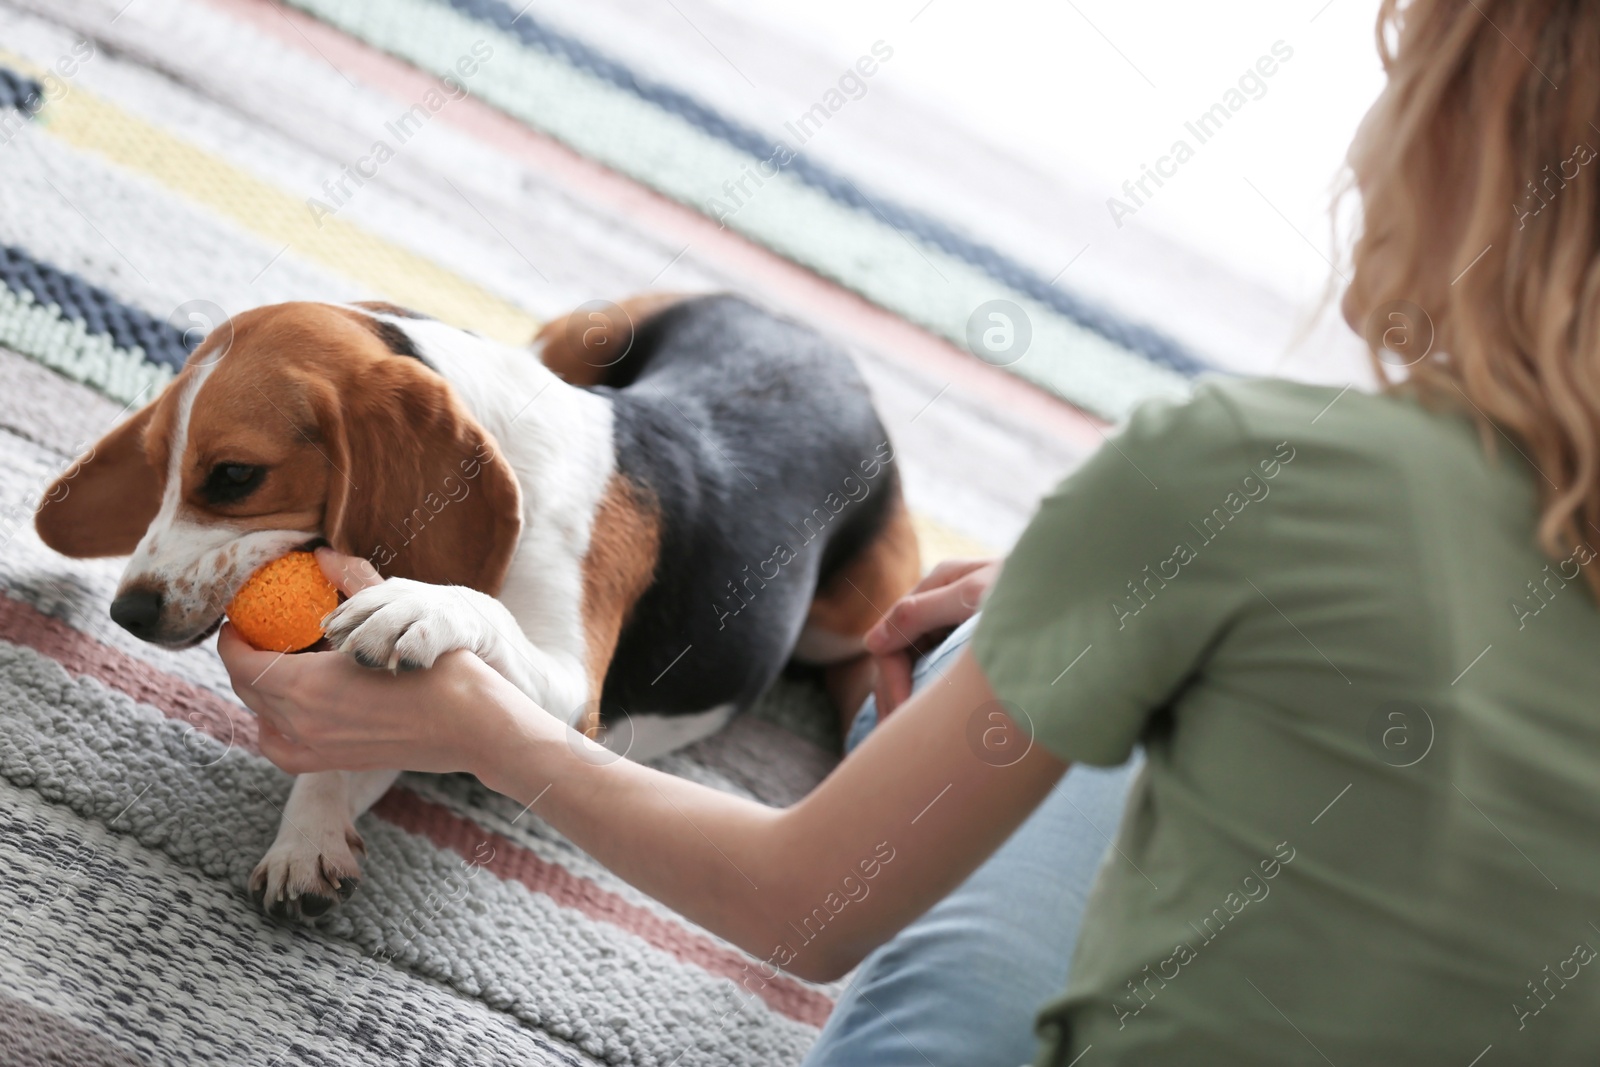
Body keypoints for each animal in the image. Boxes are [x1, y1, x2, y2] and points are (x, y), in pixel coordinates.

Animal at [34, 295, 915, 921]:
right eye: (158, 465)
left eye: (234, 477)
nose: (129, 613)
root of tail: (809, 331)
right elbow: (339, 758)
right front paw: (308, 835)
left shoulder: (572, 699)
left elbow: (475, 618)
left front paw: (422, 603)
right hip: (579, 335)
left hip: (851, 611)